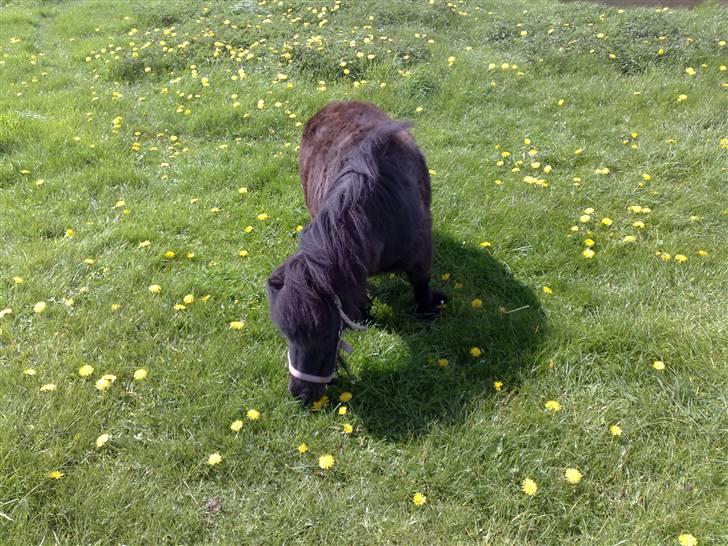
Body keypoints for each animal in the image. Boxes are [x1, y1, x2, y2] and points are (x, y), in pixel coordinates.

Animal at [266, 101, 445, 405]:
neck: (378, 216)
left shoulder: (421, 257)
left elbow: (422, 286)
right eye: (287, 335)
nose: (300, 394)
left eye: (325, 334)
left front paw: (429, 312)